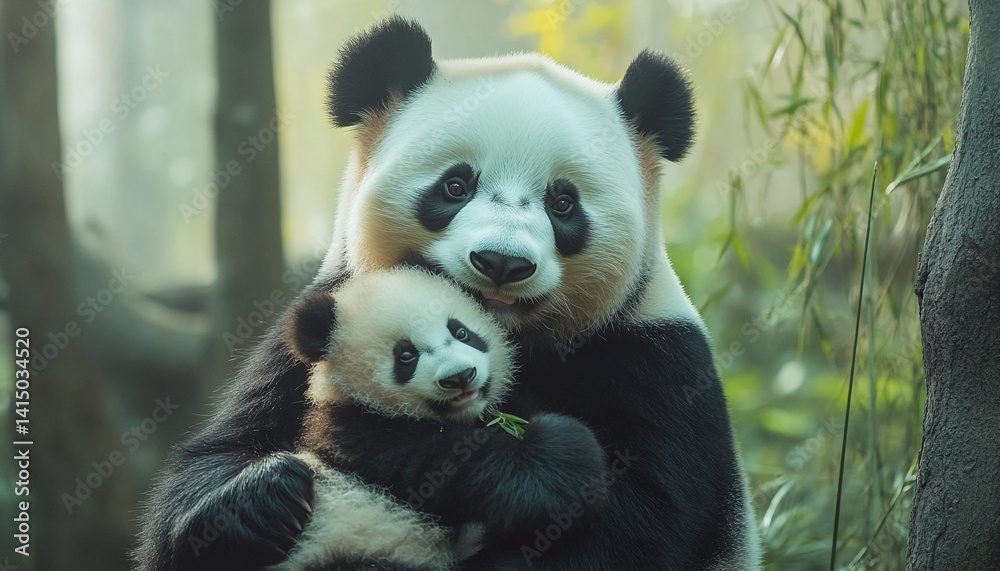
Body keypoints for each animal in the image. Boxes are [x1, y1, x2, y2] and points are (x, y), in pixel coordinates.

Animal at [269, 268, 607, 570]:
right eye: (406, 356)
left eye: (461, 332)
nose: (461, 376)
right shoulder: (360, 432)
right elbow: (452, 463)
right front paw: (560, 453)